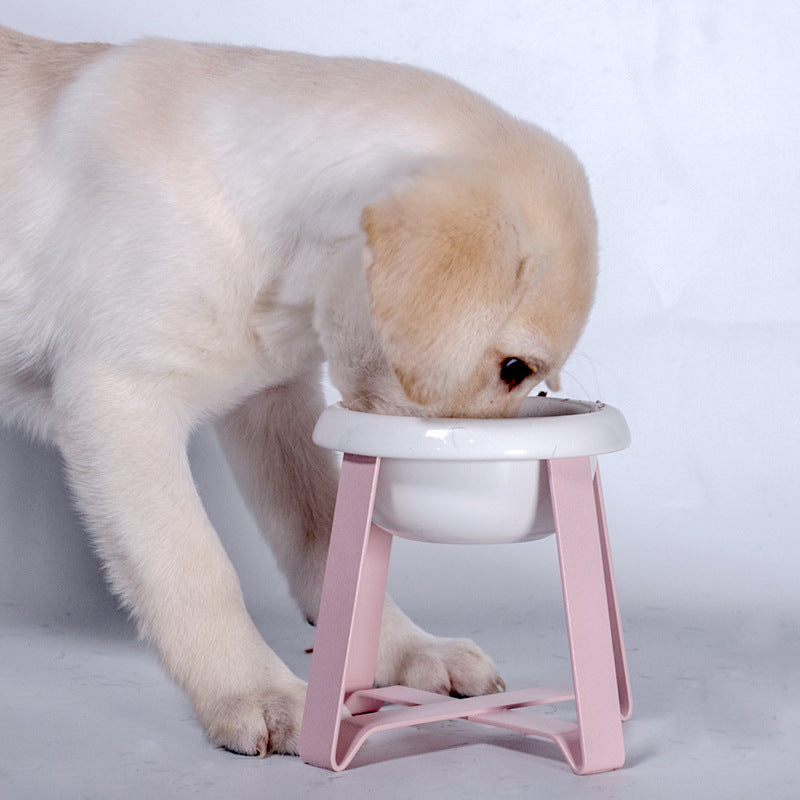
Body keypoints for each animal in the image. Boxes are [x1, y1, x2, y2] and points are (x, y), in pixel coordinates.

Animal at [0, 26, 596, 756]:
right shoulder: (119, 401)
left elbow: (325, 535)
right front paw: (251, 690)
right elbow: (195, 564)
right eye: (515, 367)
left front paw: (408, 650)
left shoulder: (273, 403)